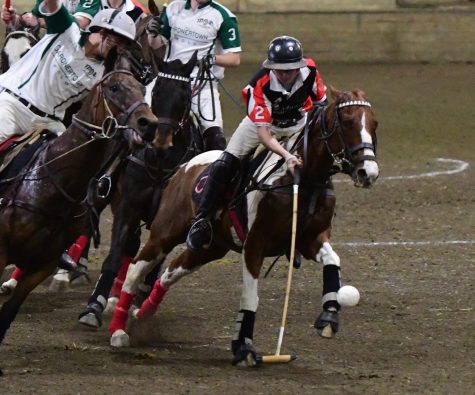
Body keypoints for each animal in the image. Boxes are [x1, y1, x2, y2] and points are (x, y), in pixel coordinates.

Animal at [0, 65, 165, 374]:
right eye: (114, 88)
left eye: (142, 87)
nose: (149, 124)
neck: (51, 181)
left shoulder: (42, 265)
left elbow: (8, 312)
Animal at [109, 88, 382, 366]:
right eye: (347, 122)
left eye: (374, 124)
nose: (368, 173)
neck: (302, 180)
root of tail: (185, 167)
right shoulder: (255, 243)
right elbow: (250, 296)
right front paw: (243, 348)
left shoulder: (310, 238)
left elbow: (332, 260)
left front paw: (329, 316)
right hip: (165, 232)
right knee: (135, 269)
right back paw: (118, 330)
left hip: (210, 248)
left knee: (171, 271)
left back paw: (142, 315)